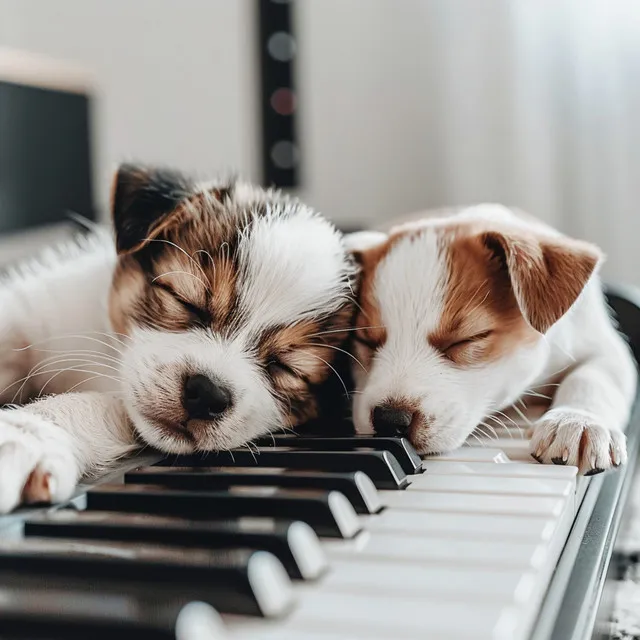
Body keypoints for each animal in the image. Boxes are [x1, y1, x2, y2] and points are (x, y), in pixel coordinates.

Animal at [0, 164, 356, 510]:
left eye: (285, 368)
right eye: (185, 301)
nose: (208, 394)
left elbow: (94, 404)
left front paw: (24, 436)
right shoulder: (35, 312)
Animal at [348, 205, 636, 476]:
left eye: (466, 339)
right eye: (365, 340)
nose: (390, 420)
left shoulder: (606, 348)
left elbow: (593, 377)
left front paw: (577, 421)